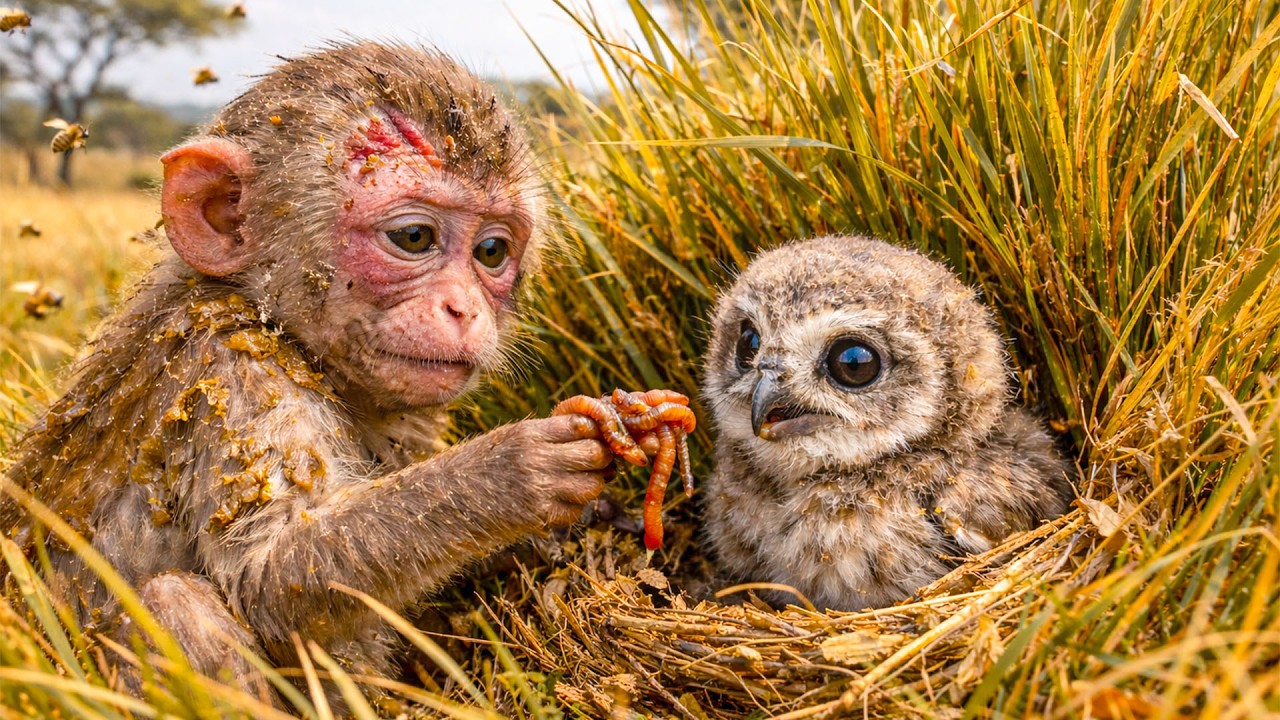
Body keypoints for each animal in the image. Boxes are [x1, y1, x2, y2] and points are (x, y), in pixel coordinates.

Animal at [0, 41, 614, 705]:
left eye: (492, 252)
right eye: (414, 237)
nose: (465, 309)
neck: (276, 322)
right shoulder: (231, 366)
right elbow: (268, 577)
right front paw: (514, 469)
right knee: (175, 600)